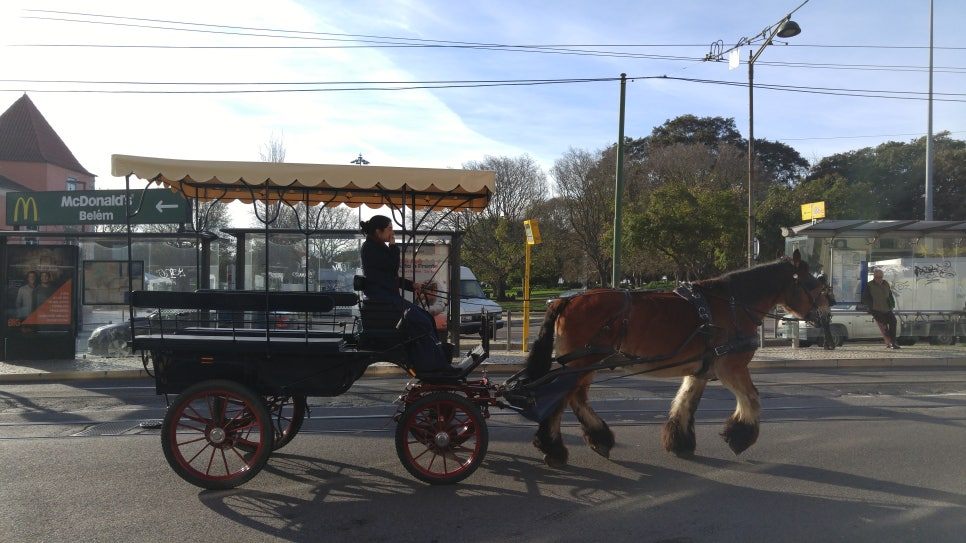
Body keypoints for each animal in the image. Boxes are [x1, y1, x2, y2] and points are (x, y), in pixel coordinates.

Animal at [523, 250, 832, 468]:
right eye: (816, 287)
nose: (827, 317)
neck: (733, 304)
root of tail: (565, 300)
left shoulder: (701, 370)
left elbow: (685, 402)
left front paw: (680, 442)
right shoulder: (731, 367)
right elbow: (752, 399)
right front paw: (740, 436)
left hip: (584, 365)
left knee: (575, 398)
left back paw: (597, 438)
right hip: (582, 364)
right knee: (561, 399)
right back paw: (554, 449)